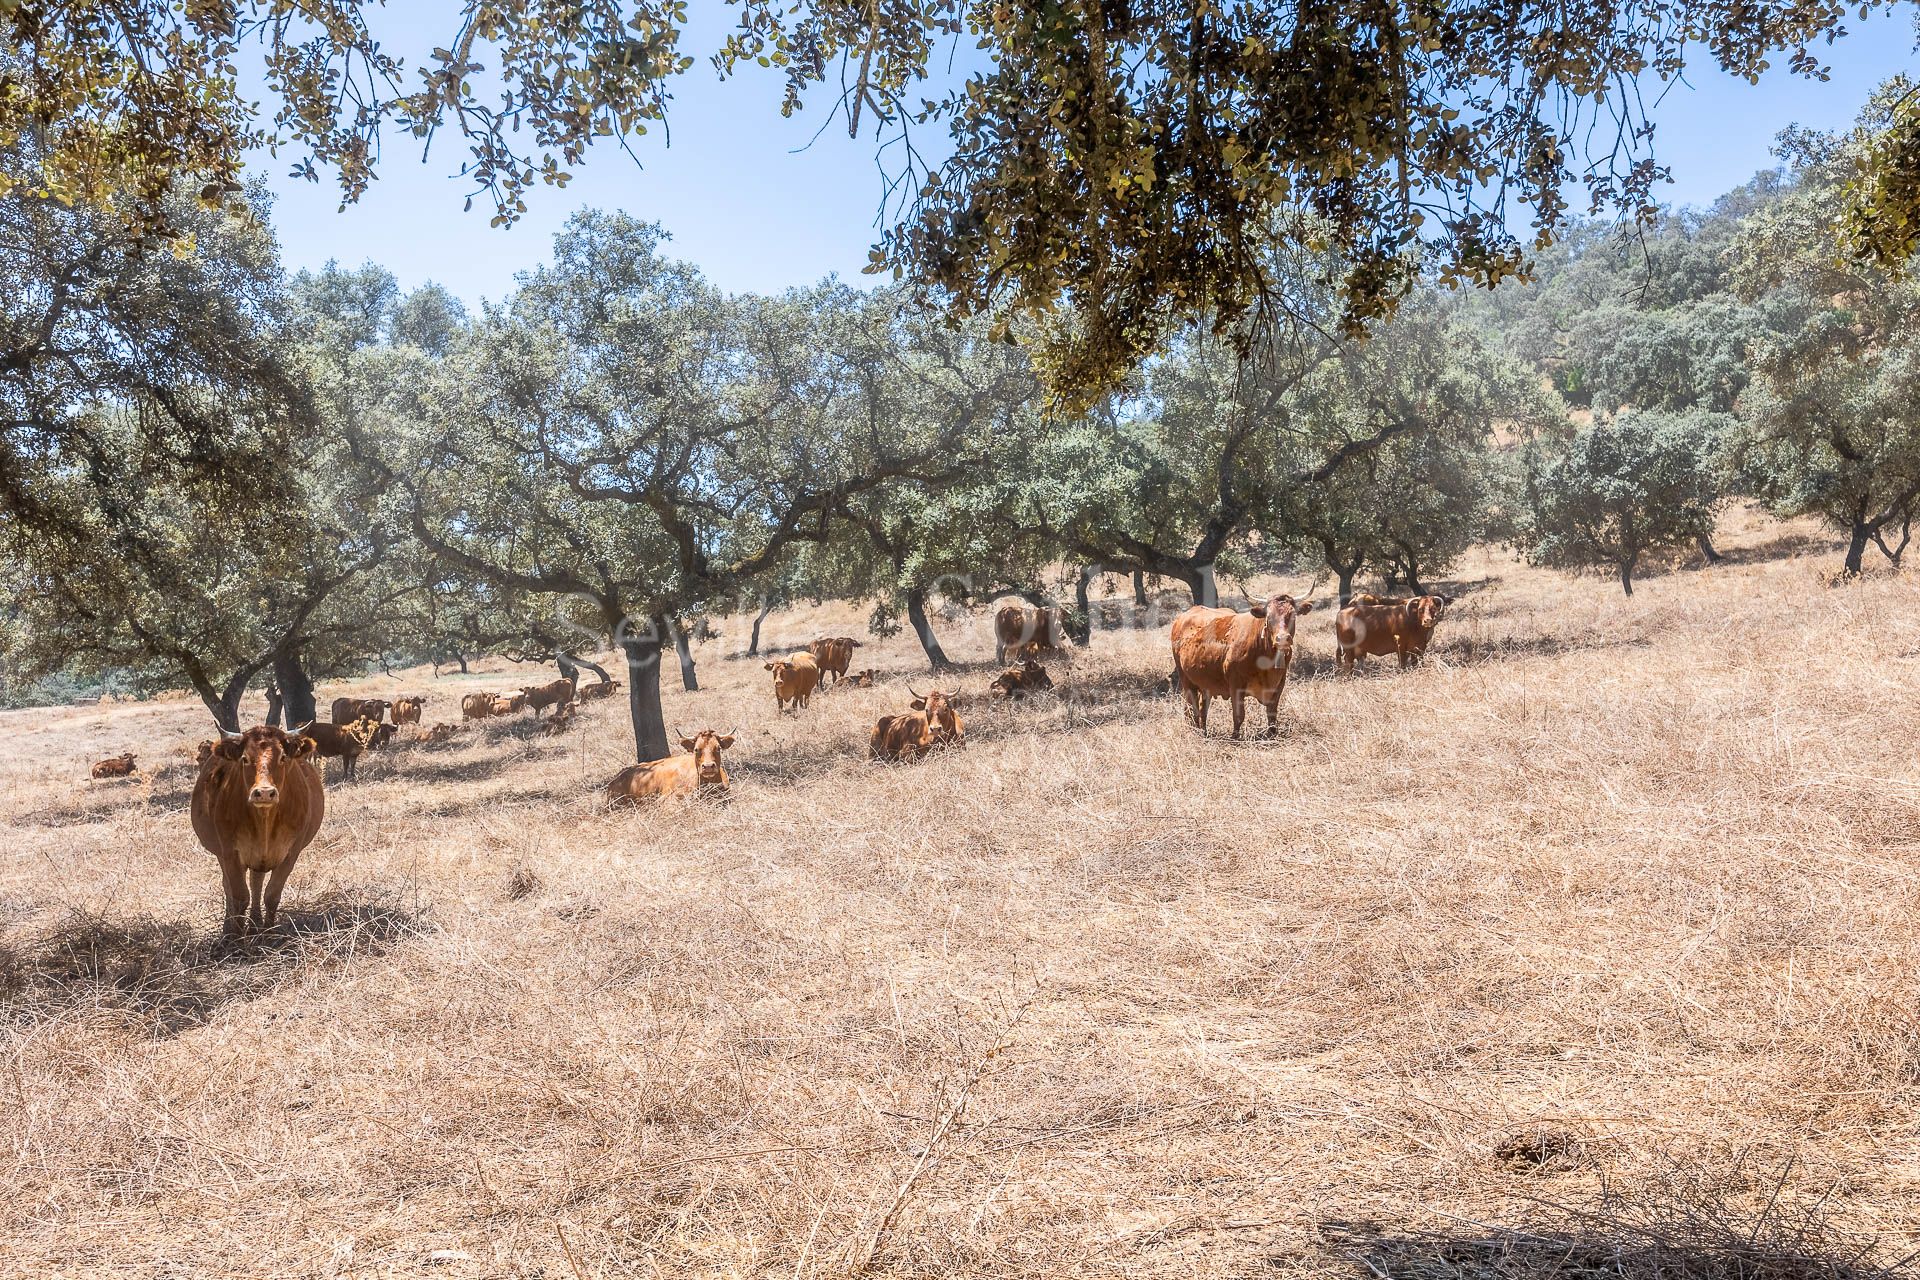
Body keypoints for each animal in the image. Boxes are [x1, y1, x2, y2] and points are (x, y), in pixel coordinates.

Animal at [192, 729, 326, 940]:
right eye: (245, 759)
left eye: (283, 757)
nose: (264, 792)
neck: (264, 822)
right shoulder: (230, 853)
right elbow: (239, 896)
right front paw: (236, 938)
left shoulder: (291, 854)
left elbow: (271, 895)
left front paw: (268, 935)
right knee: (229, 886)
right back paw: (230, 928)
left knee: (256, 882)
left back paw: (255, 925)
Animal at [1167, 594, 1320, 736]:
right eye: (1268, 617)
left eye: (1293, 615)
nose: (1282, 638)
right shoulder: (1235, 685)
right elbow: (1239, 715)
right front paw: (1235, 737)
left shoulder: (1279, 683)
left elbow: (1272, 714)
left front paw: (1272, 734)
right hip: (1186, 681)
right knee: (1191, 709)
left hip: (1205, 683)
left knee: (1202, 708)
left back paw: (1203, 731)